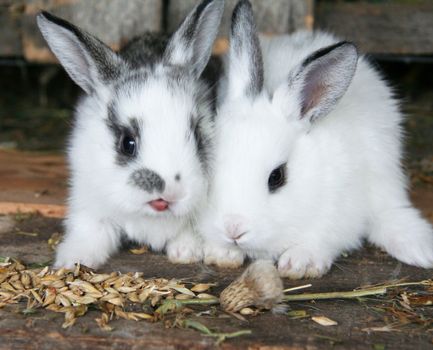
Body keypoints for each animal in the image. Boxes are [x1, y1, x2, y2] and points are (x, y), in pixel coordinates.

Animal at [37, 0, 224, 270]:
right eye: (127, 143)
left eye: (198, 136)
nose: (169, 194)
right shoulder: (89, 205)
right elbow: (90, 233)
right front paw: (72, 260)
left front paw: (186, 251)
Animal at [201, 0, 432, 278]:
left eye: (277, 177)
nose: (233, 228)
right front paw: (221, 253)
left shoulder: (338, 217)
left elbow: (320, 239)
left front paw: (300, 263)